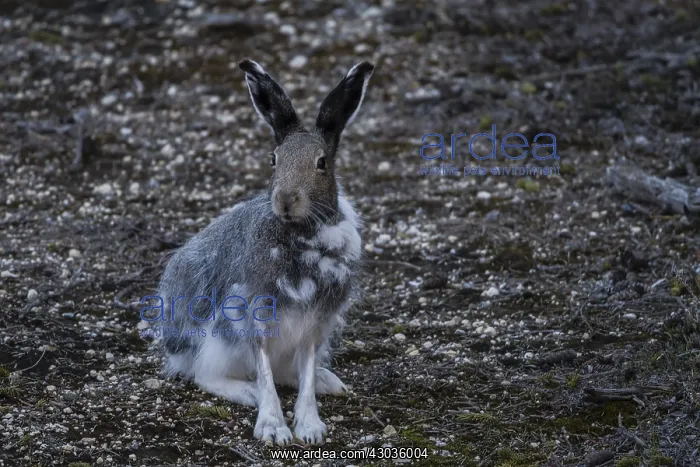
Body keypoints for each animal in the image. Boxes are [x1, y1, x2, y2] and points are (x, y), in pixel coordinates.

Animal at [154, 58, 374, 446]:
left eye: (321, 163)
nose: (285, 199)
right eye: (274, 159)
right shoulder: (252, 315)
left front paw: (310, 428)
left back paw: (328, 381)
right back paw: (249, 392)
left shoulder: (316, 323)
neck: (303, 234)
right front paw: (274, 428)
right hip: (216, 340)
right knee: (204, 375)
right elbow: (265, 373)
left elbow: (303, 373)